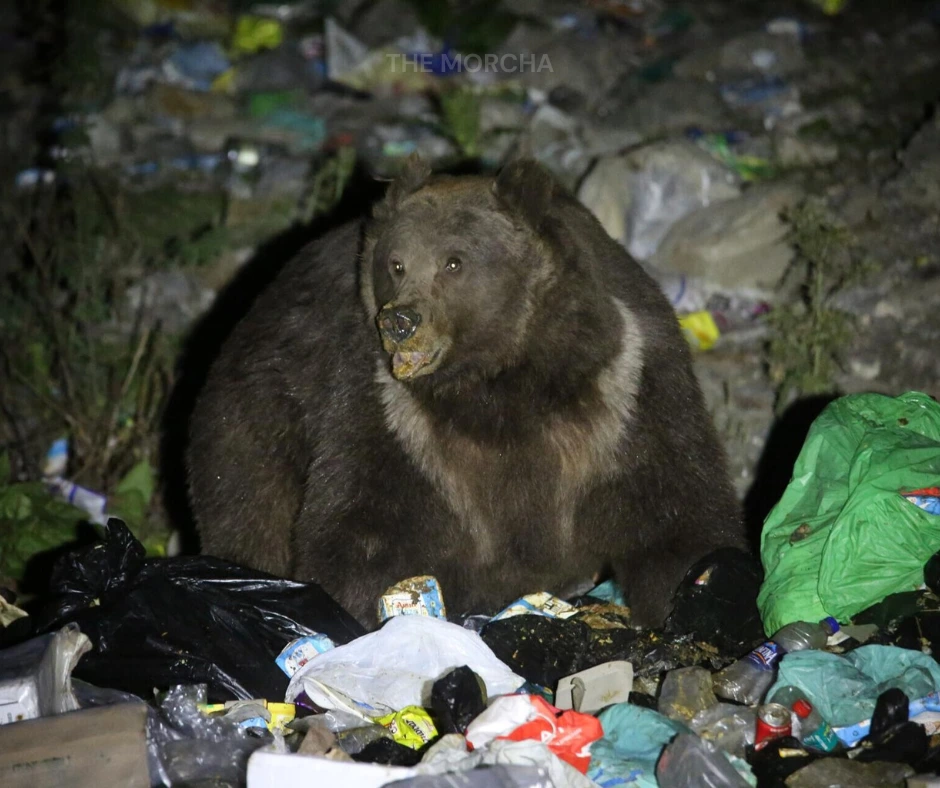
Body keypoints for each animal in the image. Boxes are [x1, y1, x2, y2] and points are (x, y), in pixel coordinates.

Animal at [186, 157, 745, 629]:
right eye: (396, 263)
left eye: (454, 263)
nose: (401, 321)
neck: (501, 381)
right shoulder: (393, 417)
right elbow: (365, 523)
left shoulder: (625, 387)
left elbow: (674, 502)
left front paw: (696, 594)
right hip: (259, 405)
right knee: (247, 497)